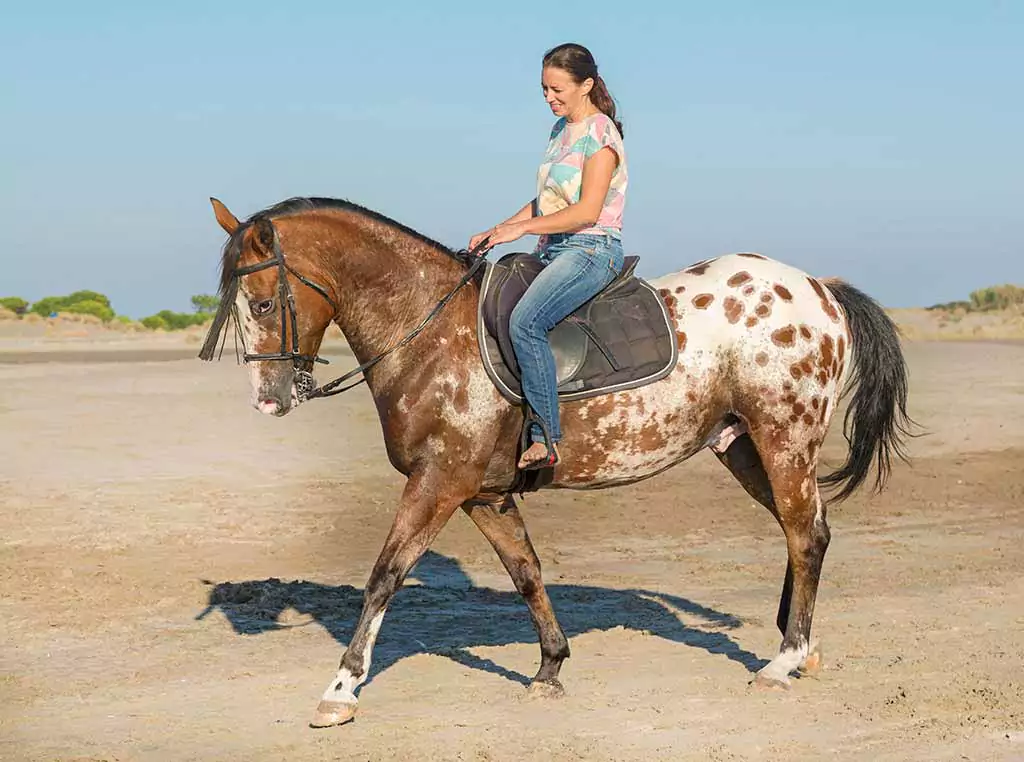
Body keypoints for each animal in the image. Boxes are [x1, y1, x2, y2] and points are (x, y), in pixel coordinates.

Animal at [197, 194, 913, 725]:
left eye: (263, 303)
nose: (268, 399)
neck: (430, 331)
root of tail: (818, 289)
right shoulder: (482, 494)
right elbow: (527, 574)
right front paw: (549, 668)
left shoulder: (438, 483)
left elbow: (385, 576)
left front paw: (341, 690)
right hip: (744, 448)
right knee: (806, 531)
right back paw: (800, 648)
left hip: (783, 439)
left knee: (804, 534)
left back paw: (784, 661)